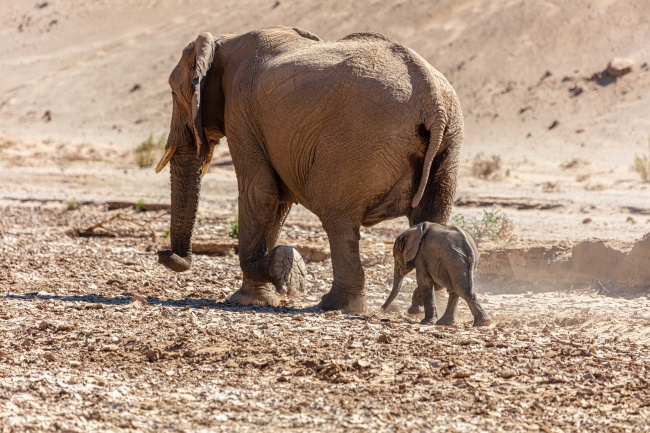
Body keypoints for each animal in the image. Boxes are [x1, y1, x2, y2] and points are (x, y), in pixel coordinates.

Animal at [155, 26, 464, 314]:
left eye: (173, 92)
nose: (164, 253)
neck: (224, 41)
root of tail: (433, 99)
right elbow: (278, 202)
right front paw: (260, 295)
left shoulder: (241, 112)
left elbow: (260, 193)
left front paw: (280, 275)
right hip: (450, 143)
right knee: (431, 216)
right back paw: (423, 309)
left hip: (359, 143)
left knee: (337, 218)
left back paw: (334, 304)